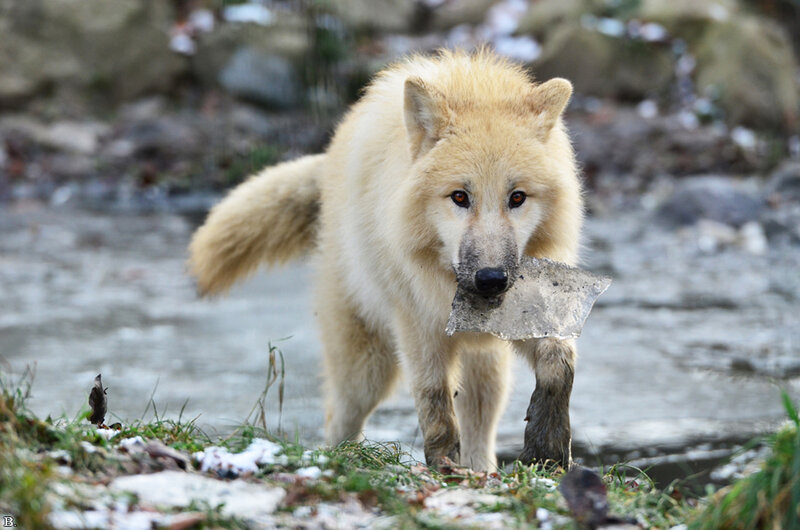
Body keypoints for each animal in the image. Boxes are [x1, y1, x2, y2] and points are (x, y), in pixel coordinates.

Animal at [189, 50, 583, 471]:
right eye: (460, 197)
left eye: (517, 197)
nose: (491, 279)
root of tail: (328, 166)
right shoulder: (417, 326)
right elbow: (434, 402)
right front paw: (443, 465)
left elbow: (559, 360)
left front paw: (548, 445)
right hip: (366, 370)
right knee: (339, 419)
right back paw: (344, 459)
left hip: (487, 371)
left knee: (481, 422)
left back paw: (482, 470)